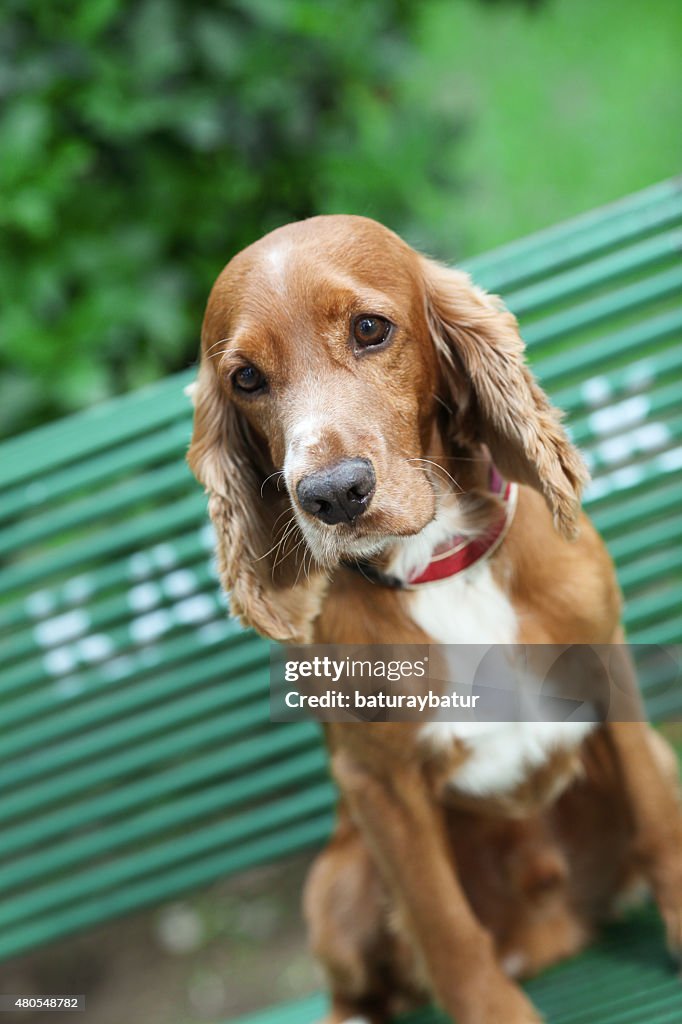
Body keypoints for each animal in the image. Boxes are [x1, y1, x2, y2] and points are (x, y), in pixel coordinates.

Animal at [187, 211, 679, 1019]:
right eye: (247, 378)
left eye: (370, 329)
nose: (333, 494)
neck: (439, 564)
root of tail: (548, 939)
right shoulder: (377, 783)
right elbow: (443, 924)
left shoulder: (610, 667)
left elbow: (659, 821)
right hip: (335, 884)